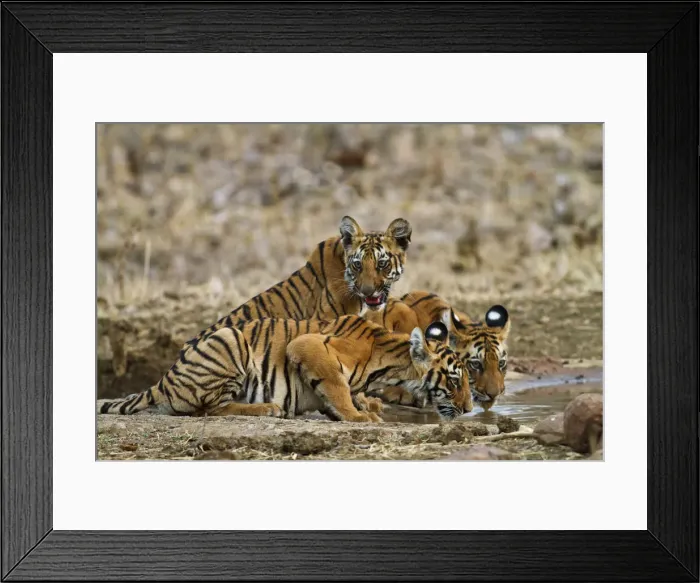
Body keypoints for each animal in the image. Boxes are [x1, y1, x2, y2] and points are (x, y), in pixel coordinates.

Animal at [98, 316, 473, 422]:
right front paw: (358, 416)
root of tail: (164, 379)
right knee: (209, 409)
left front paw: (366, 406)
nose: (471, 407)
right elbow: (337, 386)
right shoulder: (307, 345)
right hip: (229, 338)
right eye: (455, 380)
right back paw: (268, 408)